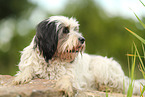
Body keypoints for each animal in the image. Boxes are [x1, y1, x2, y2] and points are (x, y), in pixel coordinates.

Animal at [13, 15, 144, 96]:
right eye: (65, 30)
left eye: (75, 29)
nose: (82, 39)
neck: (53, 58)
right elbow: (28, 69)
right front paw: (21, 77)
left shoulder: (73, 78)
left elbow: (67, 78)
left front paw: (66, 86)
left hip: (102, 67)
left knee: (122, 87)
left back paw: (105, 88)